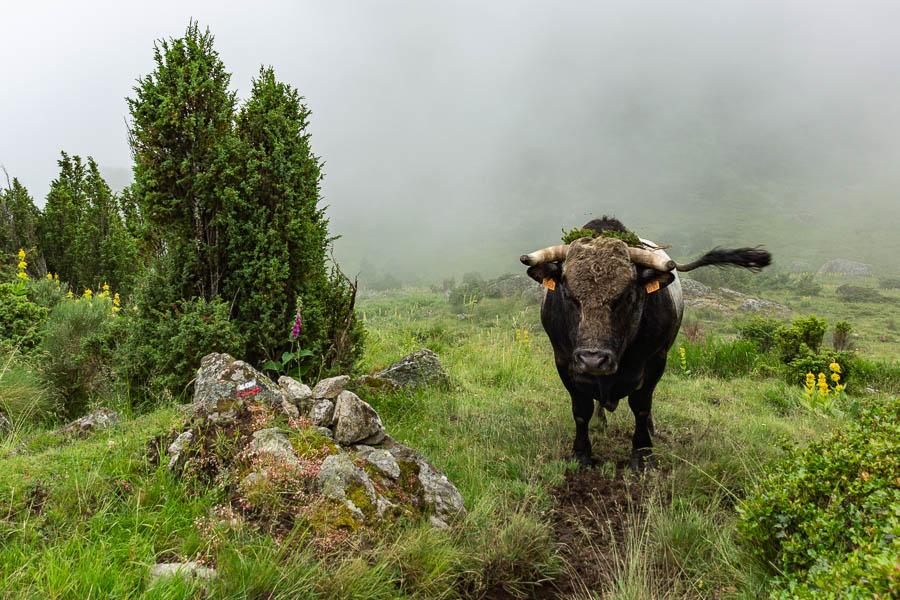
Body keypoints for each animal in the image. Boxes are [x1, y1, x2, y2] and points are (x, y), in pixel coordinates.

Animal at [520, 217, 772, 468]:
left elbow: (641, 407)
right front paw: (581, 454)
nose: (593, 360)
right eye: (568, 295)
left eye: (627, 296)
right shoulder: (564, 362)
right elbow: (581, 410)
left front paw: (642, 454)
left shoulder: (655, 361)